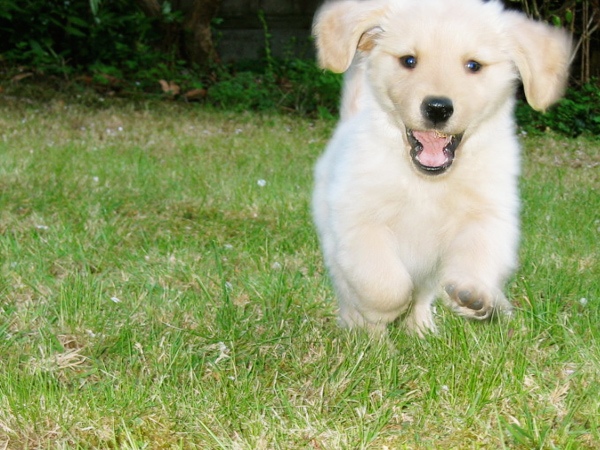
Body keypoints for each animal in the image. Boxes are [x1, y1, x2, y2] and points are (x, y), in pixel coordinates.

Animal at [311, 0, 572, 336]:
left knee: (423, 295)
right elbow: (386, 283)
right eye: (409, 60)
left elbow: (479, 254)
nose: (437, 108)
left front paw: (474, 294)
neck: (427, 183)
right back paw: (365, 332)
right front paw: (379, 315)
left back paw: (422, 329)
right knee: (352, 291)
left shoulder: (488, 215)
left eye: (474, 65)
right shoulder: (358, 221)